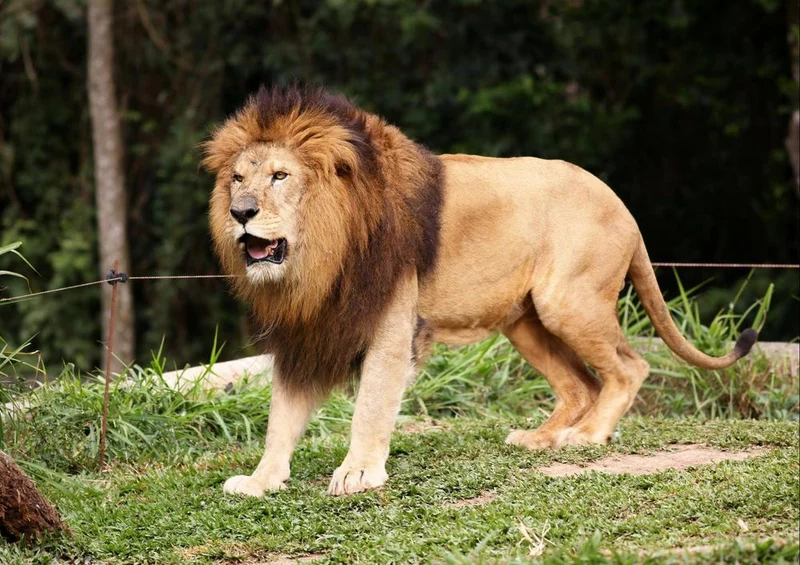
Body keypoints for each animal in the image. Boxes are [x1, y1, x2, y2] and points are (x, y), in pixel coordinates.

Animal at [203, 85, 757, 497]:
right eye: (237, 178)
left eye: (280, 176)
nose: (240, 212)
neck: (320, 256)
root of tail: (621, 205)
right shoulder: (307, 332)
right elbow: (282, 416)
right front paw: (260, 481)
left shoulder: (391, 324)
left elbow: (371, 404)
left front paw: (357, 472)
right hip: (526, 321)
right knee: (582, 384)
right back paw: (539, 439)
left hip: (567, 302)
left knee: (629, 367)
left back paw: (585, 436)